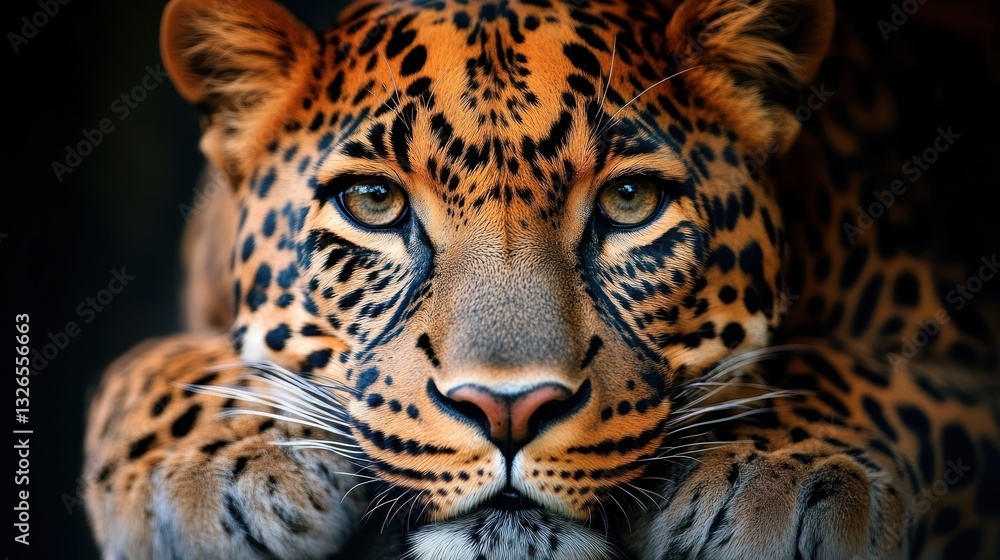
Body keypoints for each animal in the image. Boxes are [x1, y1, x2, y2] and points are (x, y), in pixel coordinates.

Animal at [83, 0, 1000, 558]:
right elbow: (139, 362)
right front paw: (199, 474)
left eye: (630, 201)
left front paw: (788, 476)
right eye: (374, 202)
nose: (509, 410)